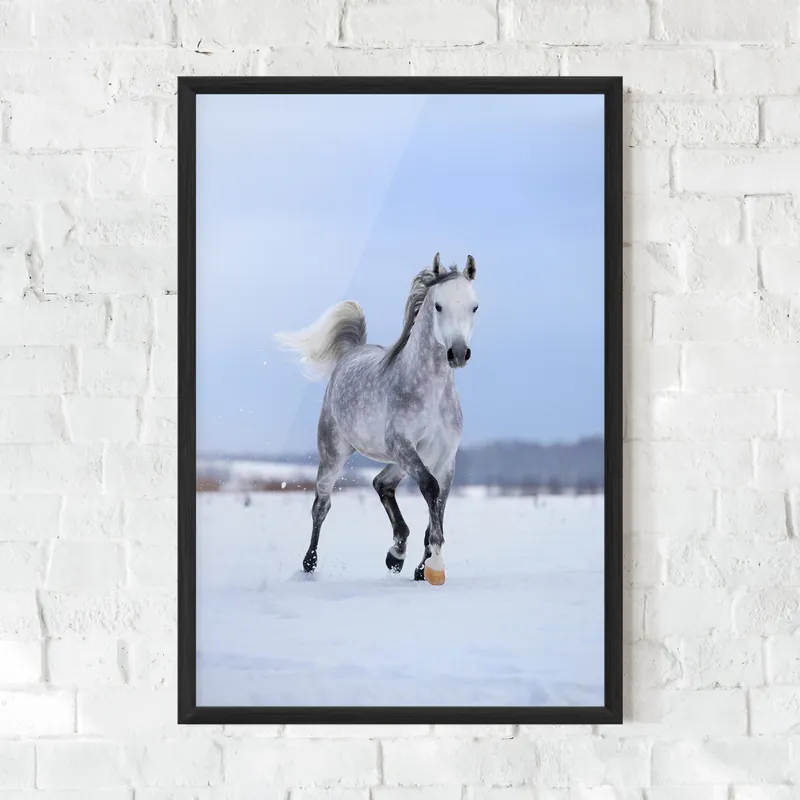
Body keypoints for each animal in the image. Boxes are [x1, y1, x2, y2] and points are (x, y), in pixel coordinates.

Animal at [275, 253, 479, 586]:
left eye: (474, 306)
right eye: (438, 306)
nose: (458, 353)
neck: (431, 393)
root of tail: (353, 351)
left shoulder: (445, 457)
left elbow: (439, 503)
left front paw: (421, 568)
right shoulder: (403, 445)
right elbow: (430, 488)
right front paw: (434, 566)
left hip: (402, 460)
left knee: (381, 483)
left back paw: (396, 554)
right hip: (336, 453)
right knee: (322, 505)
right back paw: (309, 565)